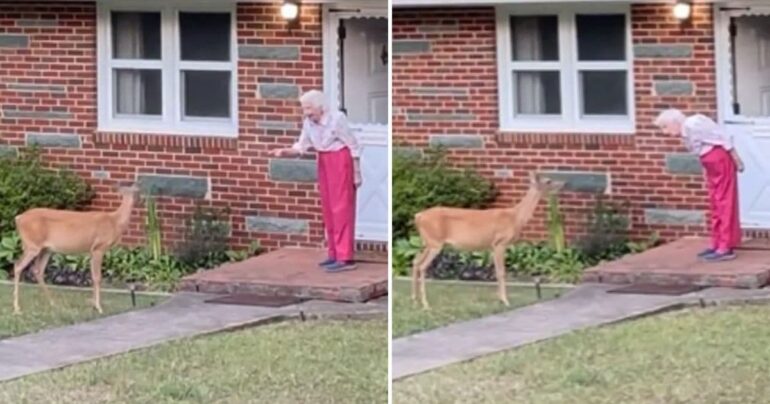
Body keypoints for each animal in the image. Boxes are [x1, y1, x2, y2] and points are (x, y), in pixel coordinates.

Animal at [12, 184, 140, 316]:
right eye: (138, 192)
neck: (115, 222)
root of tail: (18, 218)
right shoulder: (99, 248)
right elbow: (97, 277)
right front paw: (99, 307)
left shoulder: (92, 251)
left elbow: (92, 276)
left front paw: (93, 306)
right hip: (32, 245)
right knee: (18, 266)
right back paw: (17, 308)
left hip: (46, 249)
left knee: (37, 270)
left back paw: (52, 303)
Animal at [408, 175, 564, 310]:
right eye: (548, 181)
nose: (562, 183)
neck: (515, 217)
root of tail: (418, 216)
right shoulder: (500, 243)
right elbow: (501, 272)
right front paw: (505, 301)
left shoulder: (492, 247)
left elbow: (496, 271)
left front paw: (499, 299)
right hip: (434, 242)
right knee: (422, 266)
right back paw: (426, 304)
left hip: (427, 242)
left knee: (415, 261)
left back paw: (415, 300)